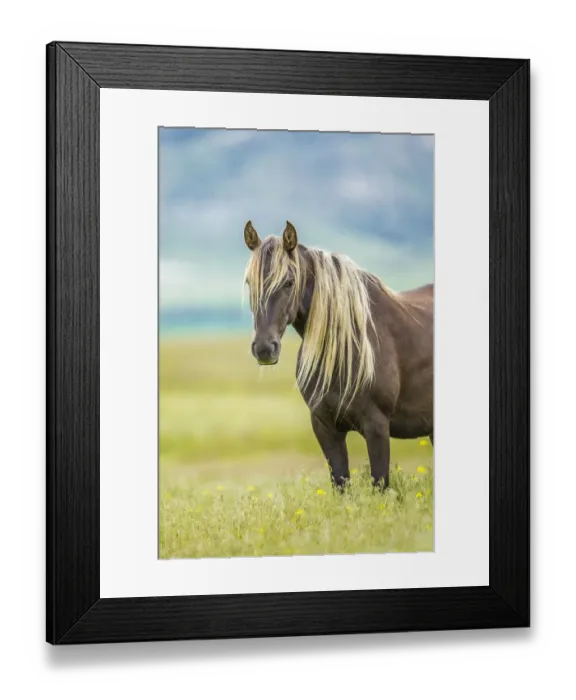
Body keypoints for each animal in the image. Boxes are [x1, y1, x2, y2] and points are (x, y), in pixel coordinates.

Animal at [243, 220, 434, 491]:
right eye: (250, 283)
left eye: (289, 282)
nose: (264, 348)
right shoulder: (325, 427)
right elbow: (341, 483)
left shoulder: (377, 427)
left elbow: (380, 483)